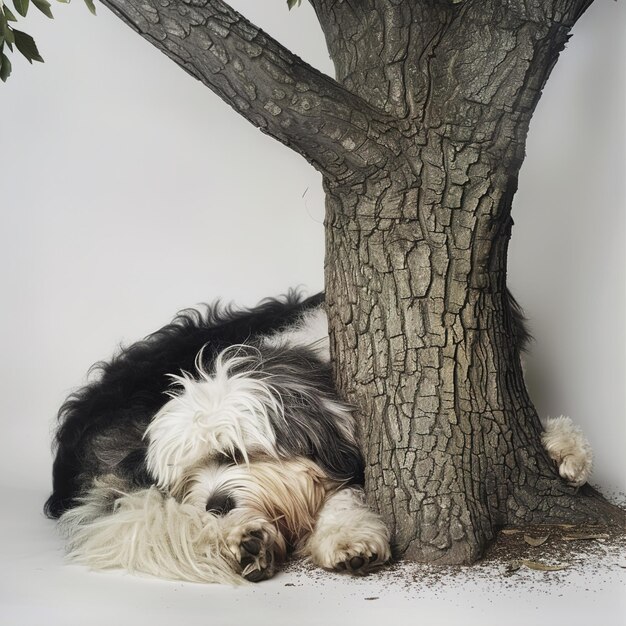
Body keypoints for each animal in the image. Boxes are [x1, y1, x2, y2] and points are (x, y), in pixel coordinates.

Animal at [44, 290, 588, 584]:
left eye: (236, 453)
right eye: (188, 476)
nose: (215, 505)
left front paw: (565, 448)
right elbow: (337, 489)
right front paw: (348, 537)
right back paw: (246, 541)